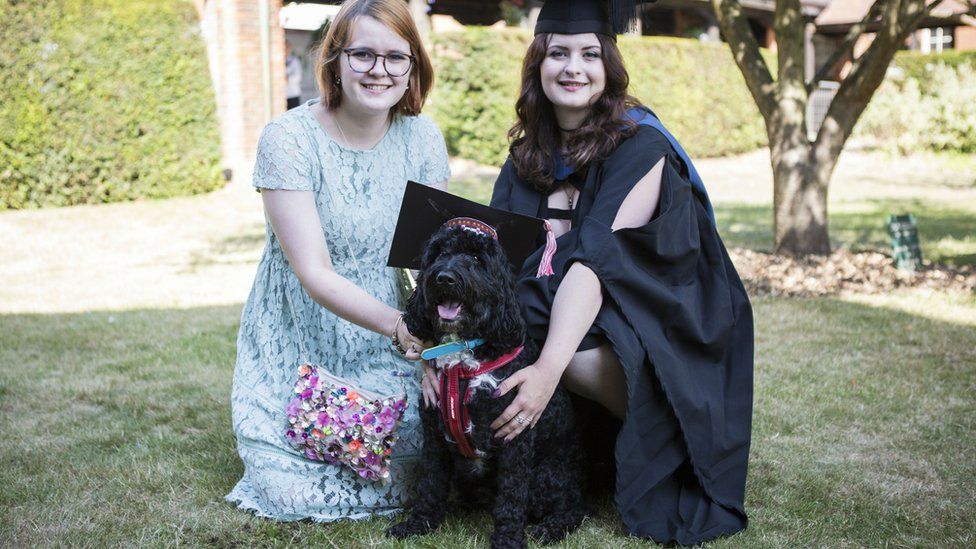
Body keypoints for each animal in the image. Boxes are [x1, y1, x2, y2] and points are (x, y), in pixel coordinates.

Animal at [386, 224, 588, 548]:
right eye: (441, 252)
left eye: (477, 259)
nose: (445, 277)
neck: (462, 355)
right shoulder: (434, 438)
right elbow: (429, 484)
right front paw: (418, 524)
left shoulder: (515, 440)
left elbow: (511, 499)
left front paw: (507, 540)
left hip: (546, 477)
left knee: (577, 509)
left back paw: (550, 528)